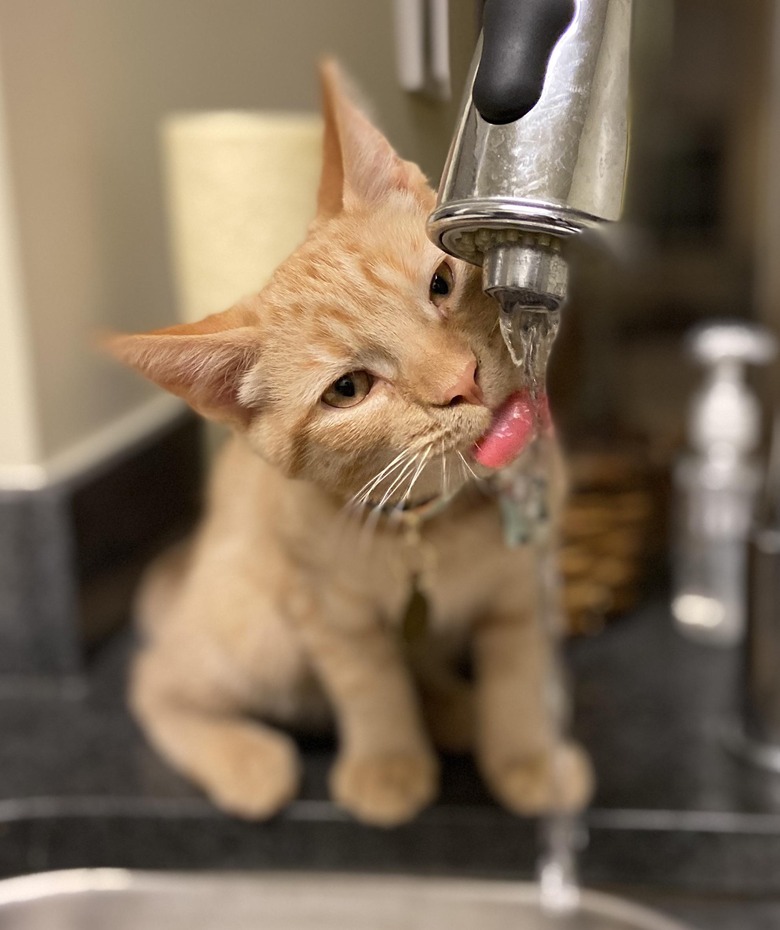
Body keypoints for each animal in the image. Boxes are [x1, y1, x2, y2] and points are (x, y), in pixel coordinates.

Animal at [109, 61, 592, 824]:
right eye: (348, 389)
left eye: (441, 282)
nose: (461, 381)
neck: (436, 528)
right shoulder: (330, 614)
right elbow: (372, 686)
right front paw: (388, 764)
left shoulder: (521, 591)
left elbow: (520, 680)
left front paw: (530, 759)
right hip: (255, 632)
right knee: (155, 678)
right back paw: (244, 757)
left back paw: (453, 706)